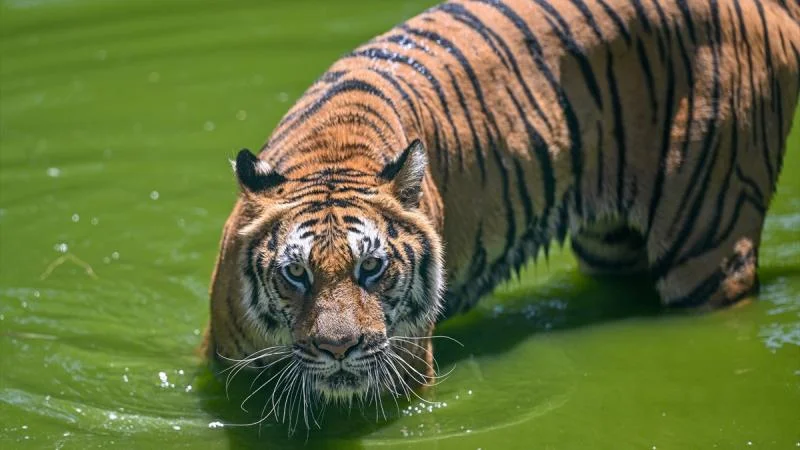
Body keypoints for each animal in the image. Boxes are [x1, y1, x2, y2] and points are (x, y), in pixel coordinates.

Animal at [203, 0, 800, 428]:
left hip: (707, 242)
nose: (339, 348)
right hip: (613, 243)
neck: (331, 154)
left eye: (370, 268)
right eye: (295, 274)